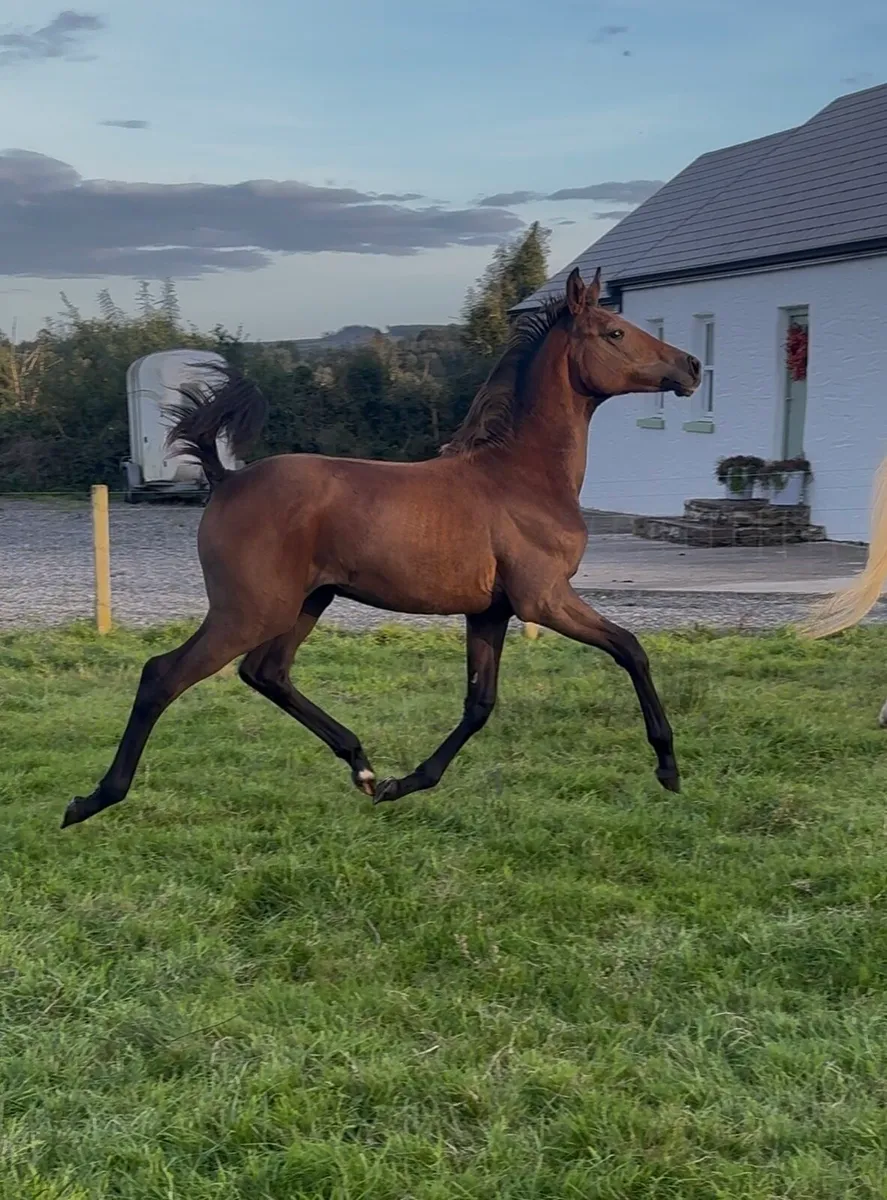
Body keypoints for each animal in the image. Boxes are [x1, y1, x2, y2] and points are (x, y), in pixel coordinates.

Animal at [62, 267, 701, 829]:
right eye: (614, 332)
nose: (691, 365)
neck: (522, 475)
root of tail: (227, 479)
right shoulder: (543, 599)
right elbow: (631, 649)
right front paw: (668, 766)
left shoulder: (491, 611)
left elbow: (479, 703)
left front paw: (404, 783)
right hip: (248, 611)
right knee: (163, 675)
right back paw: (92, 800)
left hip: (305, 603)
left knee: (266, 673)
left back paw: (363, 767)